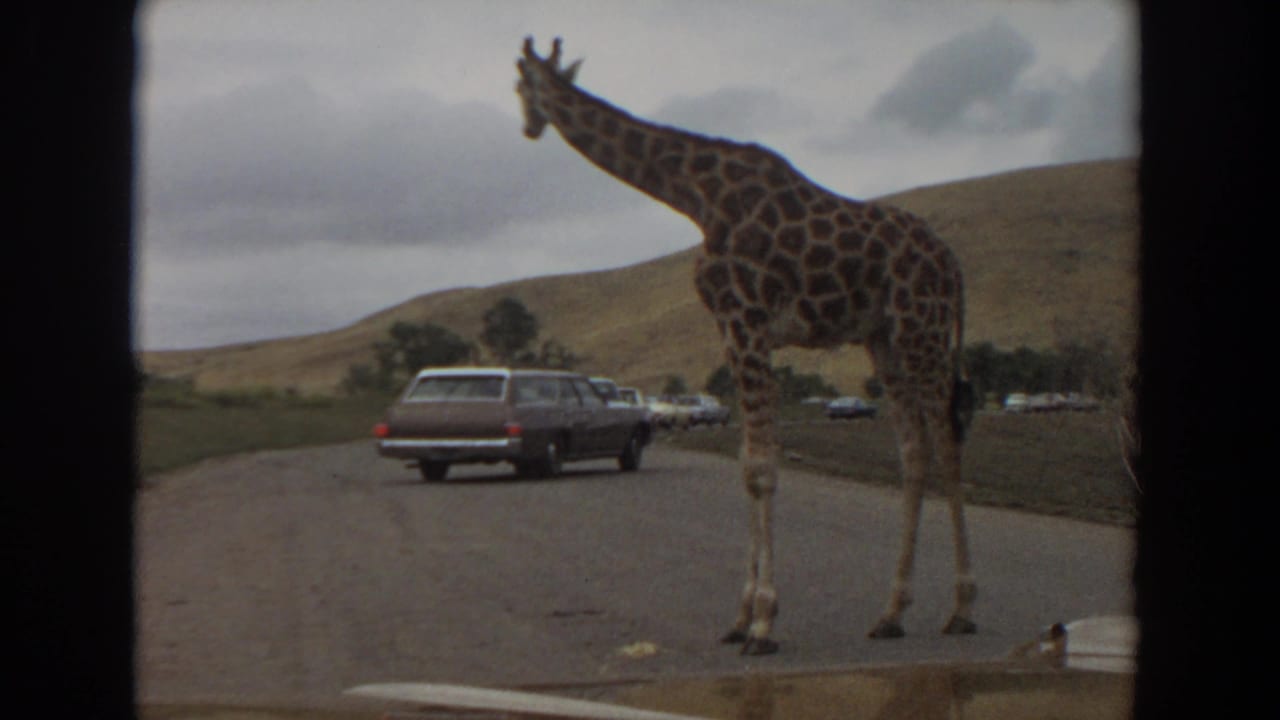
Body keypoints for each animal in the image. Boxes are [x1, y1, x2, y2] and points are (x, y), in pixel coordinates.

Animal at [515, 37, 978, 655]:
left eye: (520, 84)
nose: (528, 127)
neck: (696, 197)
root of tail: (953, 267)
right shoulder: (731, 330)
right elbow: (746, 466)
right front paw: (739, 618)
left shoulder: (747, 322)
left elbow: (761, 467)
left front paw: (762, 621)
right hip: (886, 339)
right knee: (915, 452)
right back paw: (891, 613)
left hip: (921, 329)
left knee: (948, 445)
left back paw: (962, 609)